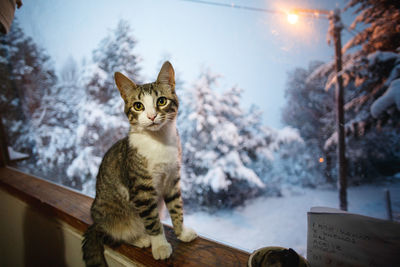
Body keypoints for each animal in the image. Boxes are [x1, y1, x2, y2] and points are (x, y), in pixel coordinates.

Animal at [82, 61, 197, 266]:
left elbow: (177, 207)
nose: (151, 116)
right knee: (117, 233)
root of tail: (96, 223)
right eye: (138, 106)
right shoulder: (141, 189)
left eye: (161, 101)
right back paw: (140, 238)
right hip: (114, 215)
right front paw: (160, 245)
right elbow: (152, 220)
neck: (159, 141)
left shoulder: (172, 179)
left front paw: (181, 232)